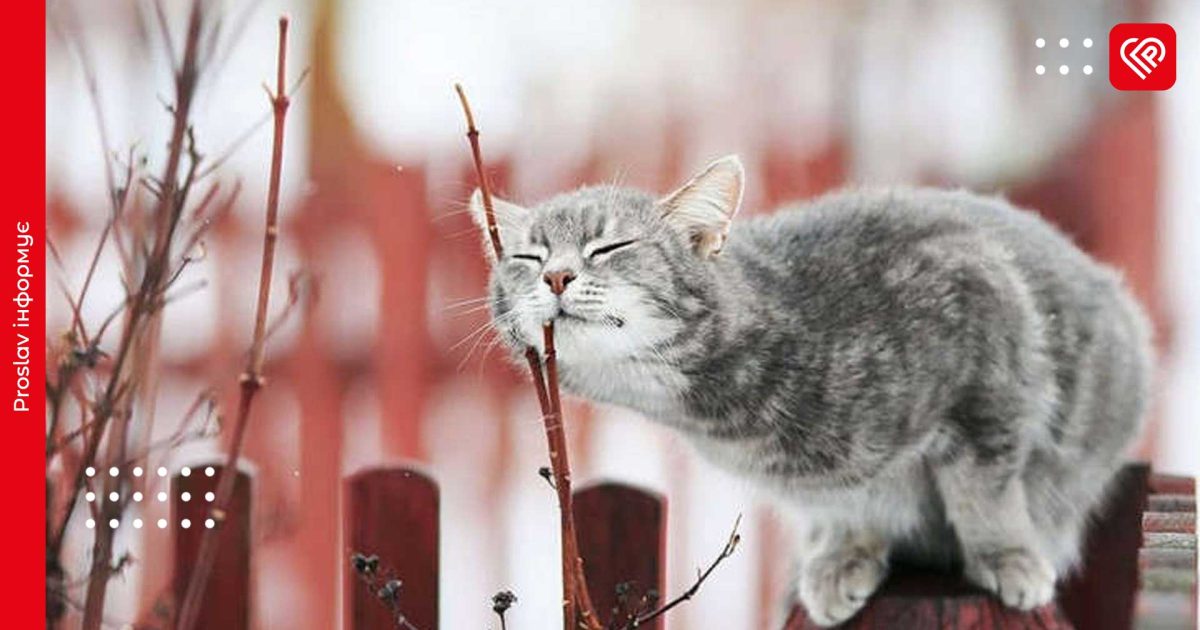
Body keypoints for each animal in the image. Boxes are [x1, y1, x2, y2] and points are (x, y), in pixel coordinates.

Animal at [470, 153, 1152, 624]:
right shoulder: (825, 486)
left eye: (610, 246)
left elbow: (984, 490)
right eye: (528, 257)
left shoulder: (988, 349)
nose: (556, 276)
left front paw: (1007, 556)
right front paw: (843, 556)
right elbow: (850, 507)